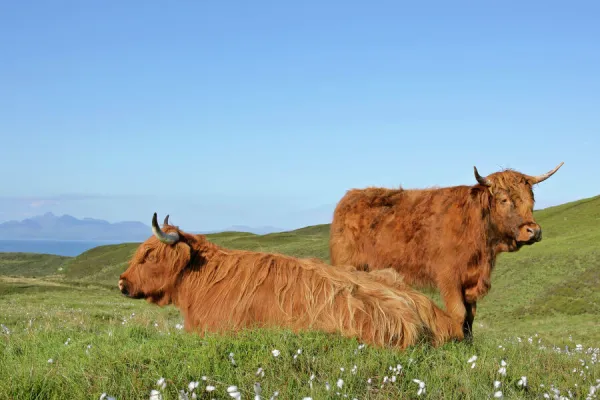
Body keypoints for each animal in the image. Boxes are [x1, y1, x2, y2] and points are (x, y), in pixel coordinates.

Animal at [328, 161, 564, 340]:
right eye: (504, 200)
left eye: (531, 200)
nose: (533, 231)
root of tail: (349, 197)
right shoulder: (449, 277)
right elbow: (458, 313)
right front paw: (457, 342)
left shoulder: (471, 281)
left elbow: (470, 316)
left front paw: (469, 343)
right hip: (347, 265)